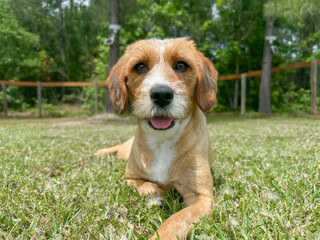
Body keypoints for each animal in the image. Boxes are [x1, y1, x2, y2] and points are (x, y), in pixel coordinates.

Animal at [96, 38, 219, 239]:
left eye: (181, 65)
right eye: (140, 67)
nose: (161, 94)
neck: (163, 141)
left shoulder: (202, 197)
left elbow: (177, 220)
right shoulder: (130, 177)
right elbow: (146, 186)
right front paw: (158, 190)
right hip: (125, 151)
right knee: (118, 147)